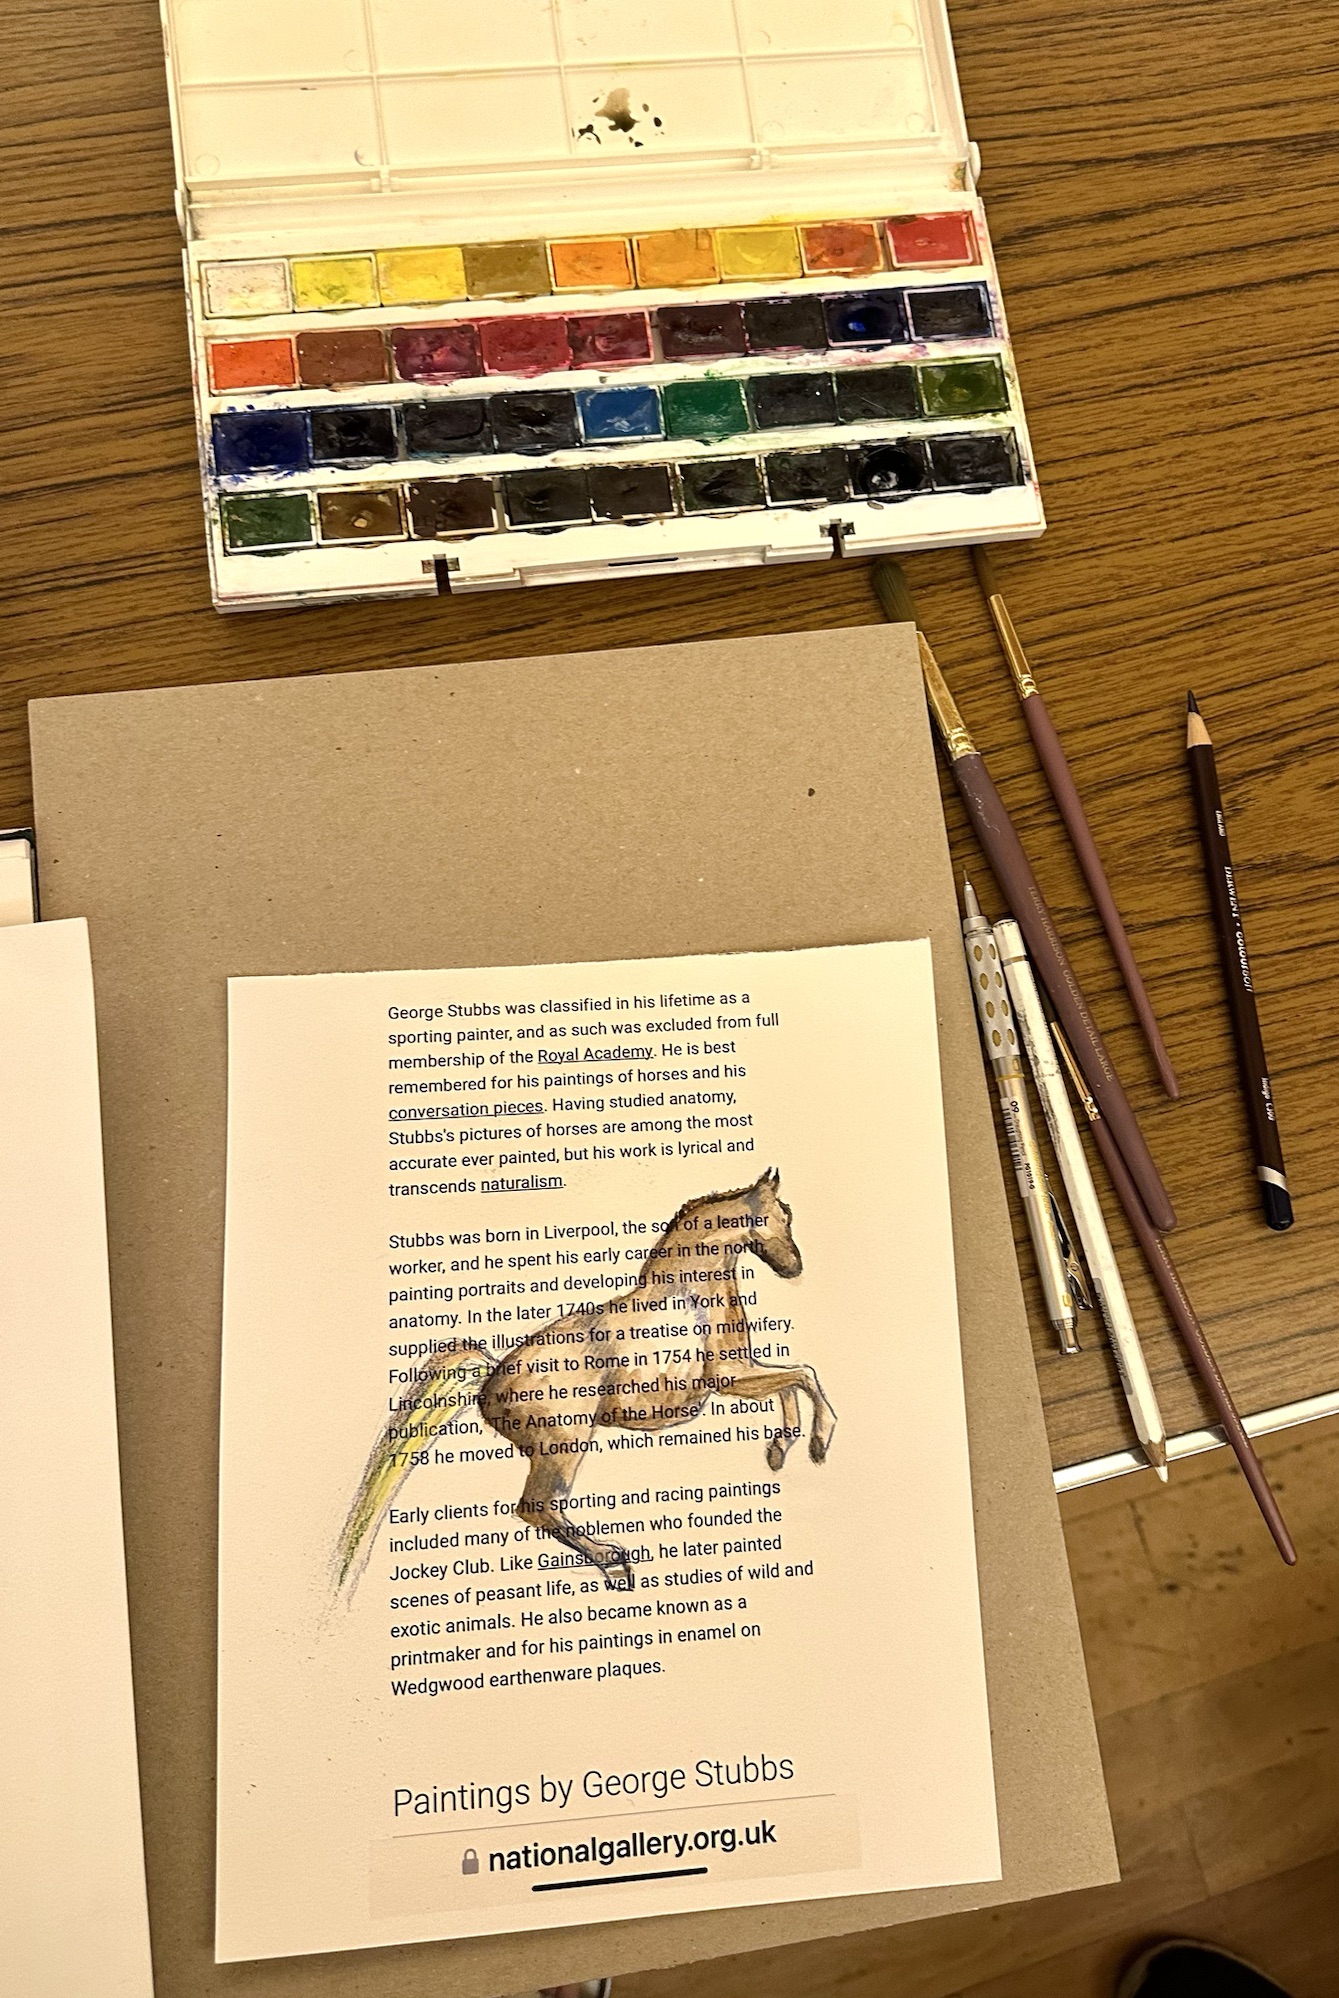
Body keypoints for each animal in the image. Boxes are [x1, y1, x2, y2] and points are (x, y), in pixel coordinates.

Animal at [336, 1167, 835, 1594]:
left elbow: (791, 1384)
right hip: (564, 1447)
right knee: (537, 1507)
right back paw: (615, 1563)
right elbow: (804, 1376)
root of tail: (488, 1381)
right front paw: (818, 1444)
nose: (794, 1268)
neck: (690, 1293)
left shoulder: (740, 1375)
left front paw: (779, 1451)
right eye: (782, 1215)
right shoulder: (729, 1379)